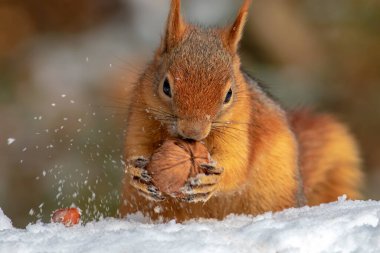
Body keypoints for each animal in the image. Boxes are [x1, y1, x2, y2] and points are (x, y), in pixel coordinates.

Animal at [120, 0, 364, 221]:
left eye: (229, 94)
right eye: (166, 86)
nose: (192, 133)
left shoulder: (241, 126)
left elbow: (237, 164)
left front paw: (213, 181)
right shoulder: (142, 115)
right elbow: (136, 146)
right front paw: (137, 174)